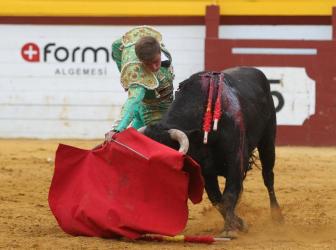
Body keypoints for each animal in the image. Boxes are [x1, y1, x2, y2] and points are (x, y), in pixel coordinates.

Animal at [144, 66, 284, 236]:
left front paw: (230, 229)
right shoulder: (206, 171)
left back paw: (277, 216)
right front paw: (239, 223)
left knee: (268, 177)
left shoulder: (235, 160)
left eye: (166, 162)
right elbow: (217, 199)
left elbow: (228, 195)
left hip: (268, 139)